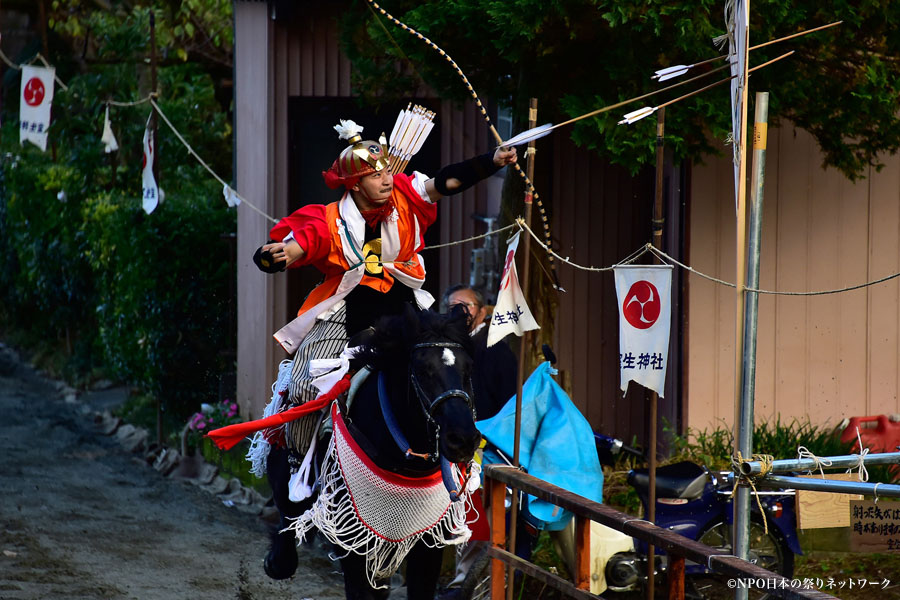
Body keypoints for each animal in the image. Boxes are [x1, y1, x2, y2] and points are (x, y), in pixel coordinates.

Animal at [264, 310, 482, 600]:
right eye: (423, 370)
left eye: (469, 370)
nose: (463, 439)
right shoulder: (353, 536)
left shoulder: (429, 541)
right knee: (286, 523)